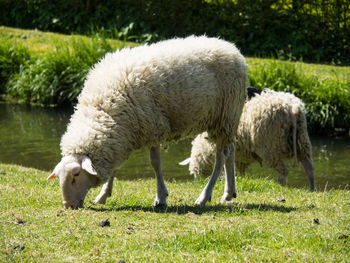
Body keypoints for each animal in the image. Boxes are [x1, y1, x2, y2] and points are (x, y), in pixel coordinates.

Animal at [47, 36, 247, 210]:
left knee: (220, 157)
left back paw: (204, 196)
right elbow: (115, 167)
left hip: (226, 114)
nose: (68, 205)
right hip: (225, 121)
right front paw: (103, 195)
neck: (104, 108)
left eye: (76, 175)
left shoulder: (154, 127)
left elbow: (155, 164)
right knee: (230, 151)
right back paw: (228, 193)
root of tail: (232, 48)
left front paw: (161, 198)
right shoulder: (119, 136)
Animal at [179, 89, 316, 192]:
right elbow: (240, 171)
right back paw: (312, 188)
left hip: (270, 146)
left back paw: (280, 186)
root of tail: (293, 109)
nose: (198, 183)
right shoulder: (241, 157)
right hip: (302, 140)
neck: (205, 148)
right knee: (309, 166)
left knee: (283, 170)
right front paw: (240, 179)